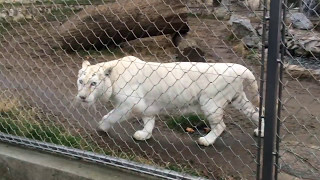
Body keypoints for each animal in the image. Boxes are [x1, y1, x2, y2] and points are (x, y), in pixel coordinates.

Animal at [76, 56, 264, 146]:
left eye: (93, 83)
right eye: (80, 81)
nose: (82, 97)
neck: (113, 81)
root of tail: (238, 68)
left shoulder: (128, 105)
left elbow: (110, 116)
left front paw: (102, 128)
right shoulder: (145, 106)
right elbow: (149, 121)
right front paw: (144, 135)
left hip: (211, 103)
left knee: (220, 126)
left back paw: (206, 141)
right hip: (239, 99)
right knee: (256, 112)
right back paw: (260, 131)